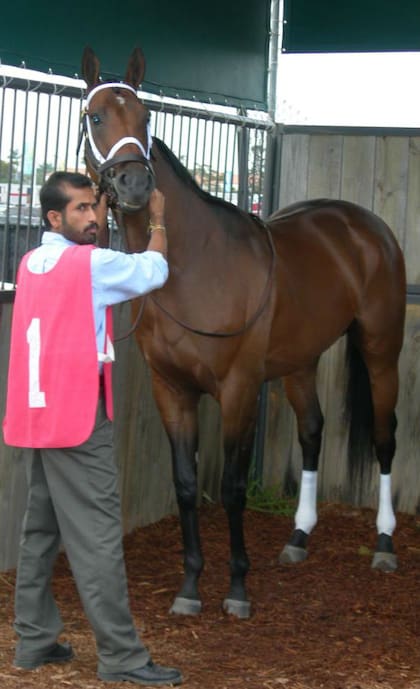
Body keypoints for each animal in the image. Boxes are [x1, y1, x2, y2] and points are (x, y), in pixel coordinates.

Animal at [80, 46, 406, 619]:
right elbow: (186, 485)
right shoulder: (173, 390)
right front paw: (190, 587)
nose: (135, 186)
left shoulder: (237, 389)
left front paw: (236, 587)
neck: (194, 265)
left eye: (146, 116)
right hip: (300, 362)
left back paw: (384, 544)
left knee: (385, 438)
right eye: (96, 117)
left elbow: (232, 486)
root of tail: (367, 227)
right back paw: (298, 536)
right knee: (312, 431)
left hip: (381, 351)